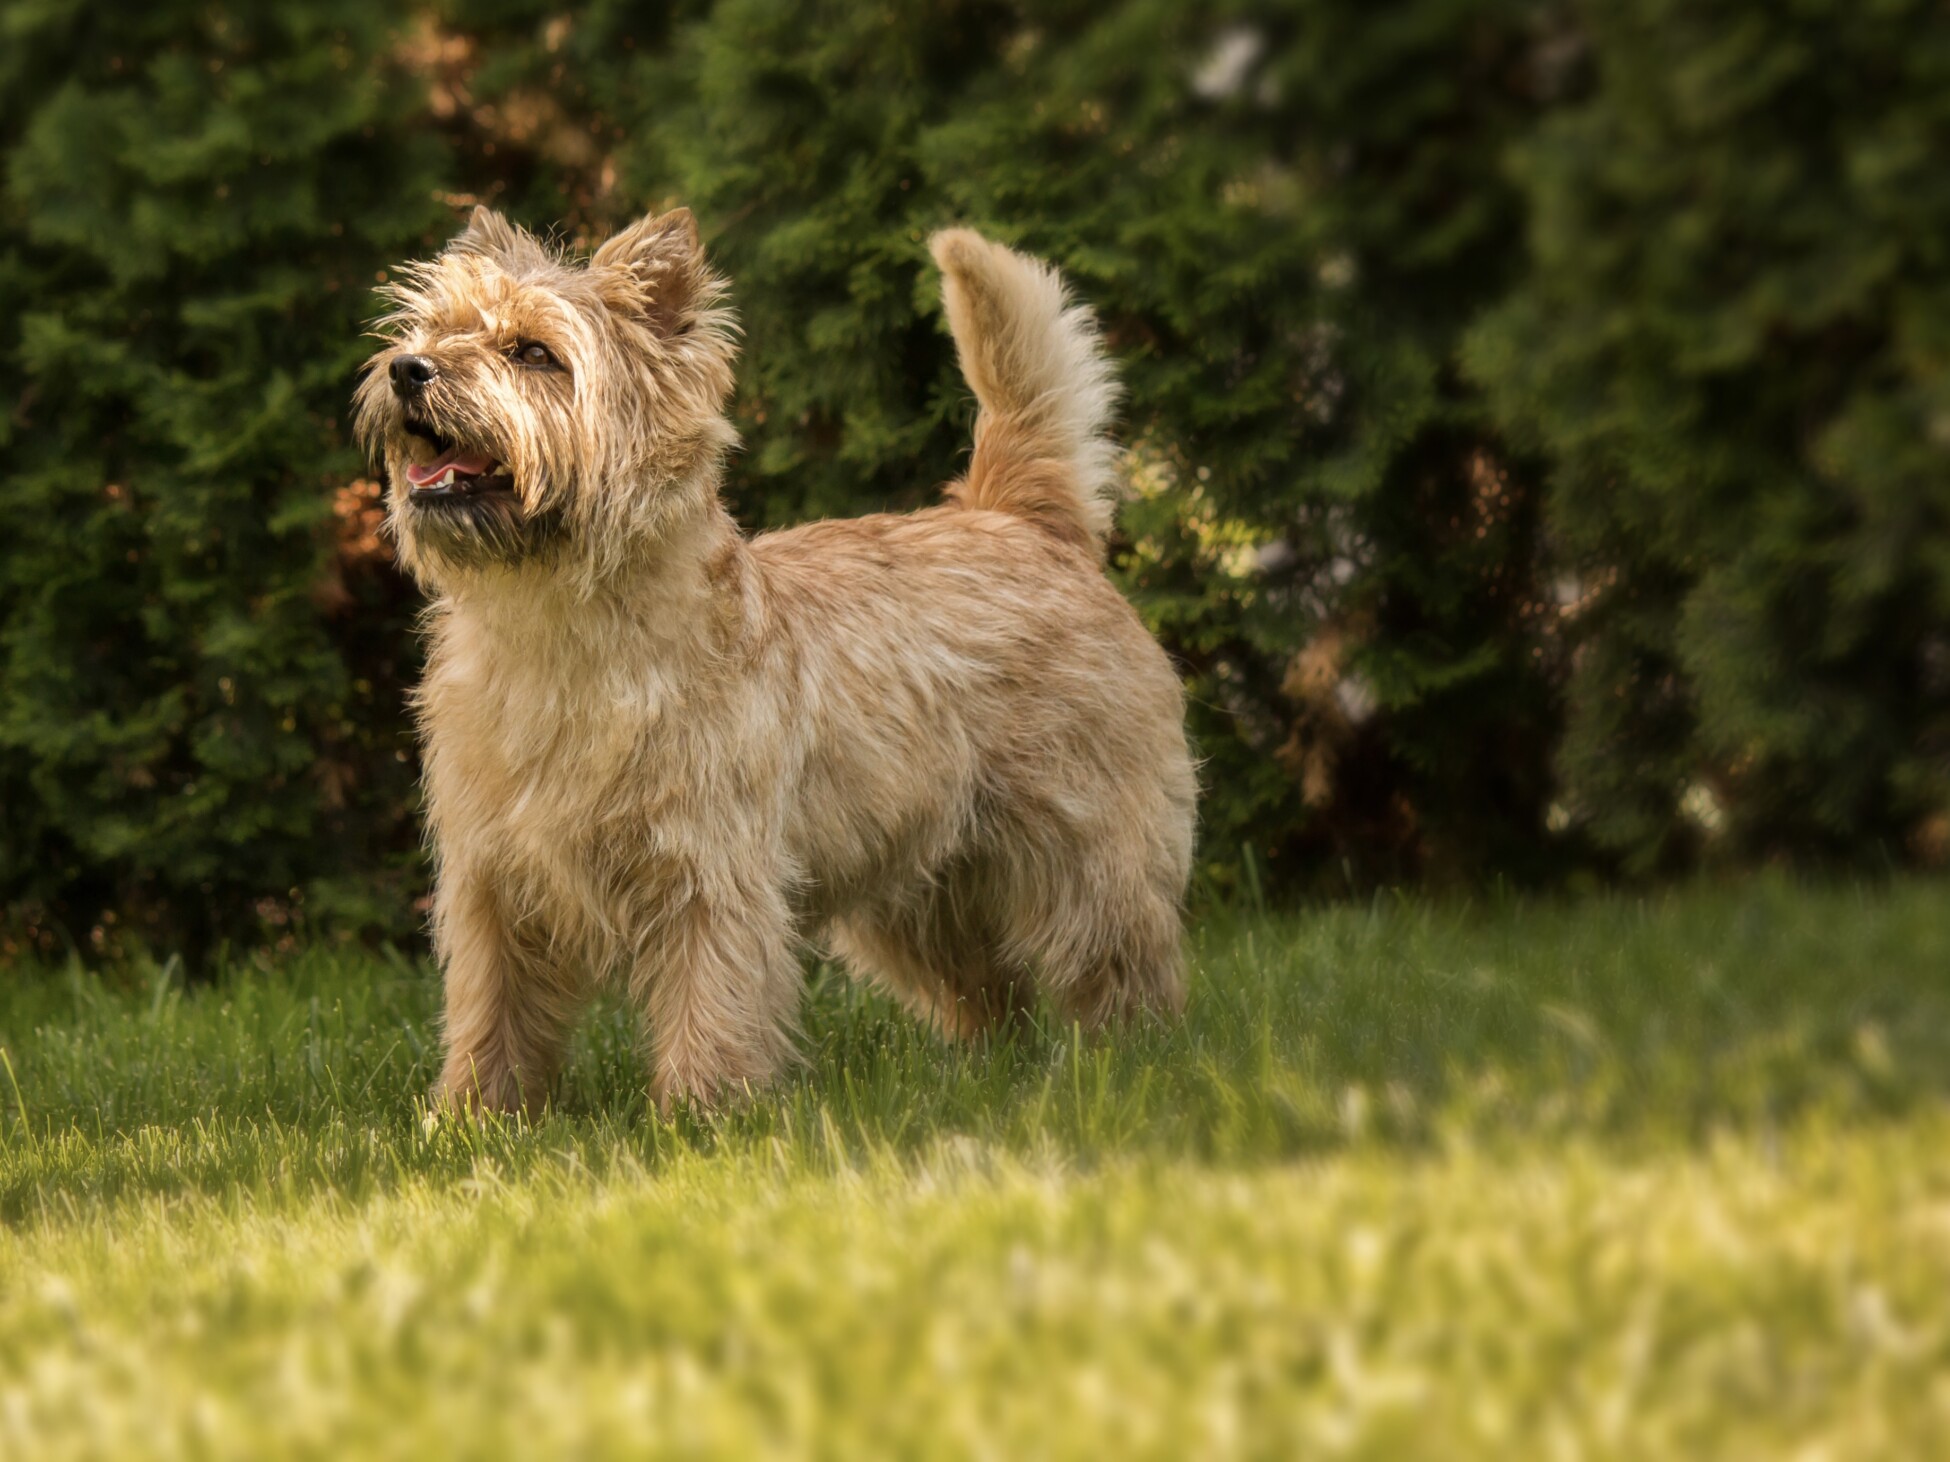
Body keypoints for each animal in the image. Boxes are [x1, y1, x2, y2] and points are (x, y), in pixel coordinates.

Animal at [356, 208, 1193, 1122]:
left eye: (533, 352)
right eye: (432, 330)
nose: (407, 369)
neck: (557, 629)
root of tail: (1020, 518)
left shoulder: (710, 870)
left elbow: (710, 995)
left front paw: (699, 1115)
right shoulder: (491, 882)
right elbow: (490, 1010)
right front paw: (470, 1119)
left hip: (1083, 849)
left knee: (1119, 960)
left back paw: (1131, 1061)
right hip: (916, 887)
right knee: (991, 988)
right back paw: (978, 1073)